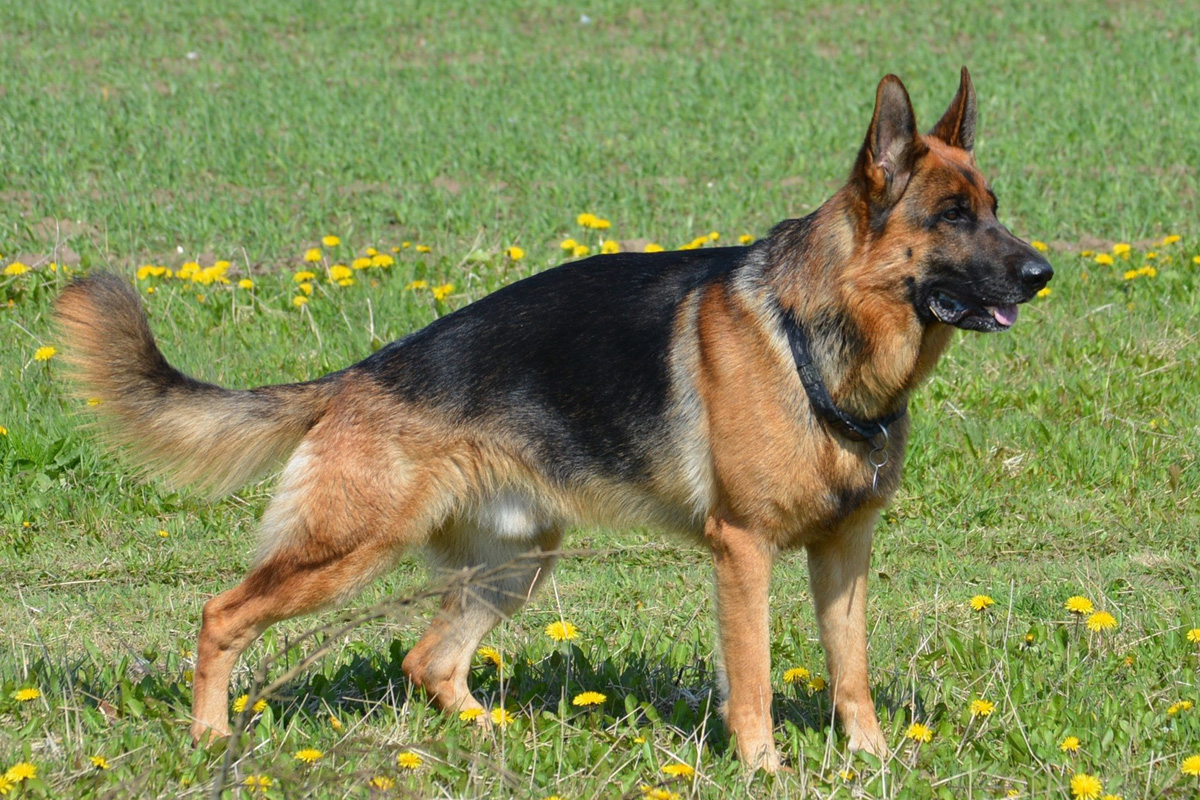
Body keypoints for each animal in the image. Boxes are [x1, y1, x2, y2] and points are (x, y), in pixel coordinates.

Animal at [56, 68, 1051, 767]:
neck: (815, 335)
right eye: (952, 216)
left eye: (995, 210)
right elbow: (757, 678)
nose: (1044, 274)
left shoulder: (844, 551)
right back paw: (210, 737)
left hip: (517, 563)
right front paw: (765, 768)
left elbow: (851, 673)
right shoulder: (745, 552)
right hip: (347, 550)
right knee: (221, 613)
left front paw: (873, 760)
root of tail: (360, 376)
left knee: (430, 661)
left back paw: (491, 736)